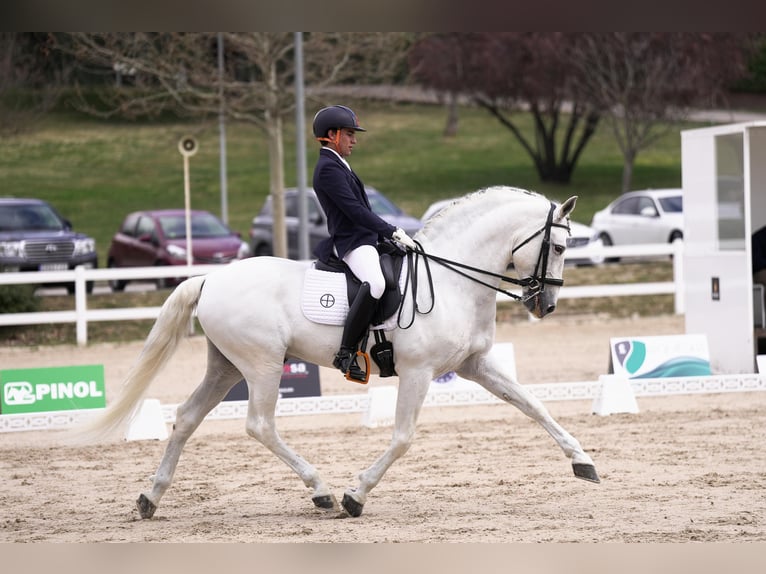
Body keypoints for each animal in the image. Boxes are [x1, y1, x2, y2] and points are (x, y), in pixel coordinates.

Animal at [76, 187, 600, 520]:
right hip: (262, 364)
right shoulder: (419, 371)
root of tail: (210, 278)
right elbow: (403, 437)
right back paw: (322, 491)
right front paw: (355, 494)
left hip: (226, 366)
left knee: (186, 417)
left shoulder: (474, 365)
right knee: (260, 425)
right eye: (558, 246)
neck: (453, 279)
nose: (546, 305)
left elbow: (532, 404)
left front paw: (583, 461)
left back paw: (150, 497)